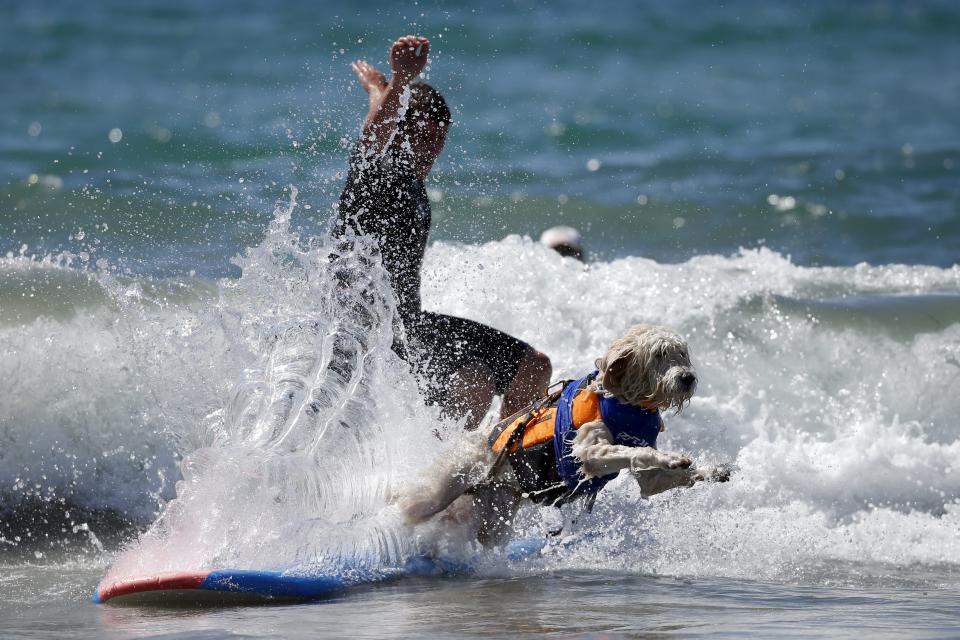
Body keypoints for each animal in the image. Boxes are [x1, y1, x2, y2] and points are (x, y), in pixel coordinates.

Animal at [398, 324, 728, 544]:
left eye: (682, 353)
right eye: (659, 354)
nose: (687, 378)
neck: (625, 401)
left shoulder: (650, 480)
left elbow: (659, 476)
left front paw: (712, 470)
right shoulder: (589, 452)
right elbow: (635, 451)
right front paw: (671, 457)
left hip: (497, 510)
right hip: (442, 486)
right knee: (409, 505)